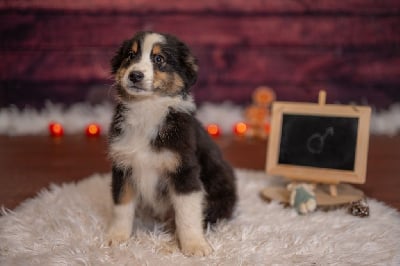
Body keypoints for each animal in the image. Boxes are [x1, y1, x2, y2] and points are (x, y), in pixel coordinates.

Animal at [107, 31, 238, 256]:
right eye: (130, 55)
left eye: (159, 59)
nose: (135, 75)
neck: (146, 109)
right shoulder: (123, 166)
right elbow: (121, 206)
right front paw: (117, 237)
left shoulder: (184, 169)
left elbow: (187, 214)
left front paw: (194, 245)